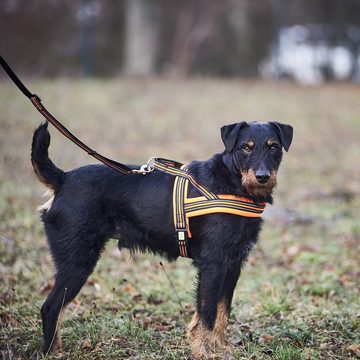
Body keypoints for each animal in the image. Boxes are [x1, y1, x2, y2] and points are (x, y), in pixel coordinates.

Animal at [31, 120, 292, 358]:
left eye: (273, 146)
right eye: (245, 147)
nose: (262, 177)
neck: (232, 182)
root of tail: (63, 179)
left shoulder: (233, 264)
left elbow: (222, 311)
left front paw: (221, 347)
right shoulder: (213, 264)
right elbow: (207, 313)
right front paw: (203, 351)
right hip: (77, 262)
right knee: (50, 308)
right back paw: (53, 352)